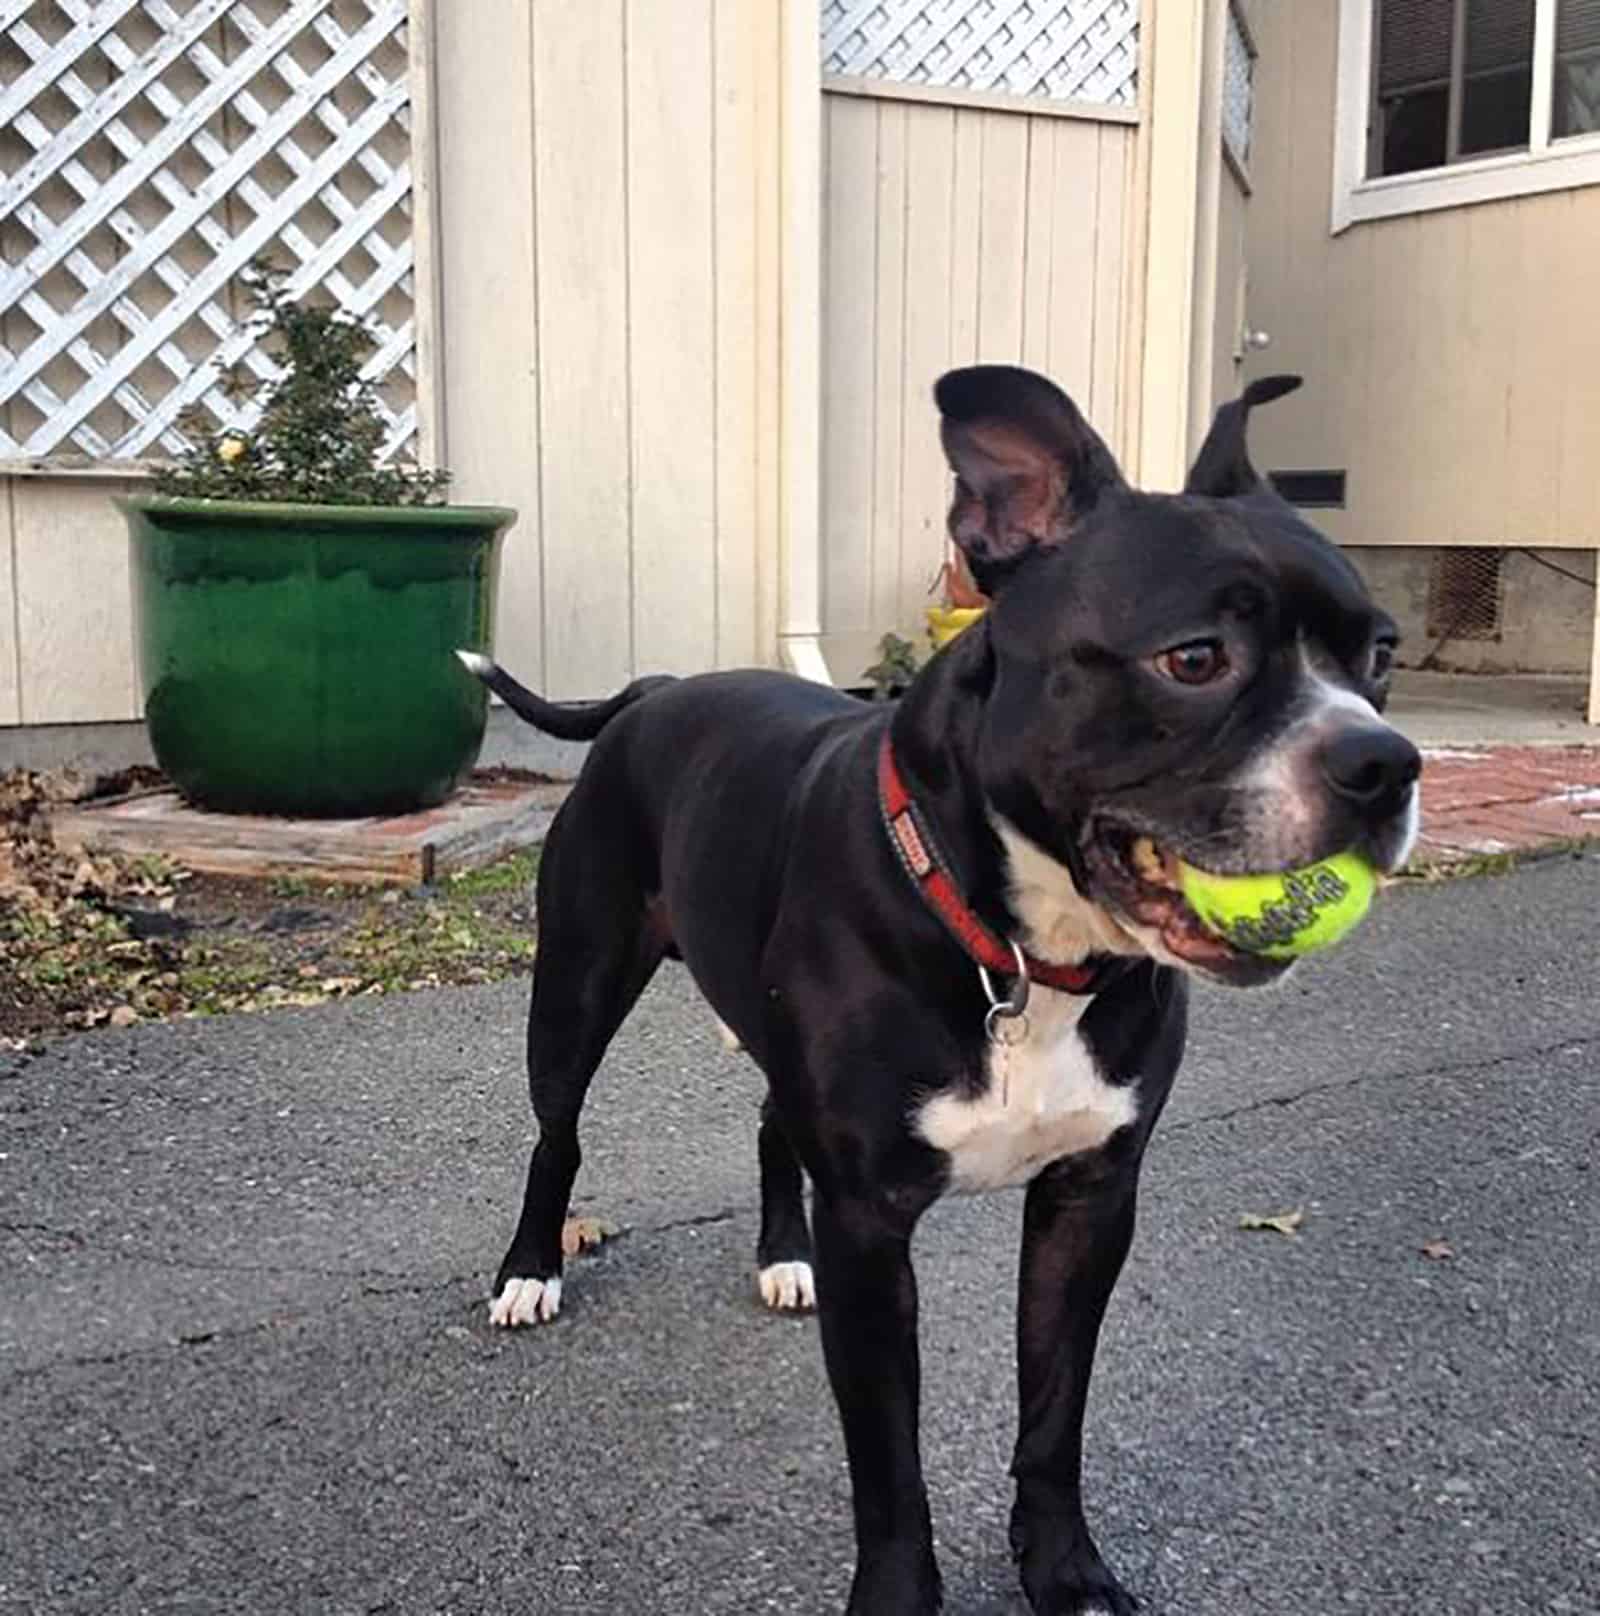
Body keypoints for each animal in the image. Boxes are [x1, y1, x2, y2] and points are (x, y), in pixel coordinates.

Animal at [462, 370, 1428, 1616]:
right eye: (1195, 656)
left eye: (1381, 653)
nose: (1383, 762)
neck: (1025, 951)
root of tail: (656, 689)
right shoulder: (874, 1229)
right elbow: (889, 1463)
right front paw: (899, 1593)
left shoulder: (1087, 1202)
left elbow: (1053, 1414)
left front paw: (1065, 1569)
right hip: (575, 986)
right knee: (559, 1132)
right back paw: (531, 1267)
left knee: (770, 1120)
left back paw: (782, 1252)